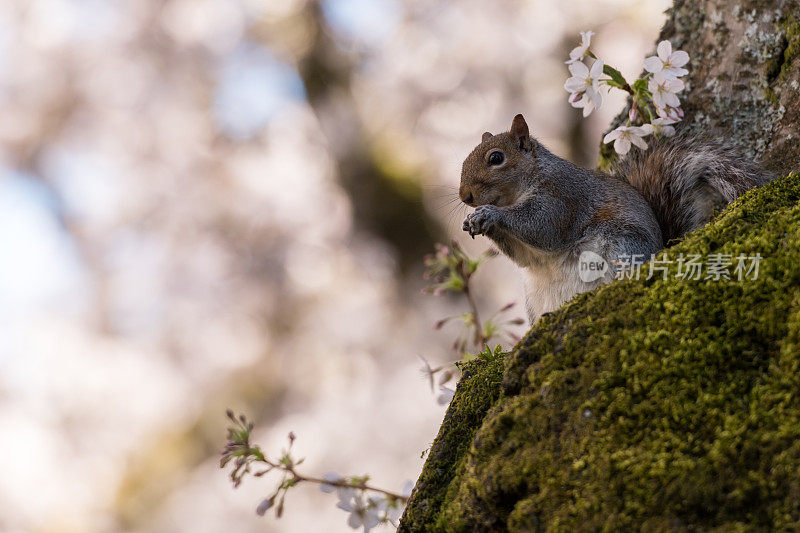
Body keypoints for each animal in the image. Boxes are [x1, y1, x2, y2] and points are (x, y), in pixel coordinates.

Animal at [460, 114, 772, 322]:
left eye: (496, 158)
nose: (465, 196)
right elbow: (526, 257)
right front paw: (473, 222)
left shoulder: (562, 199)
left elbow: (541, 228)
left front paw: (491, 214)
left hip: (623, 245)